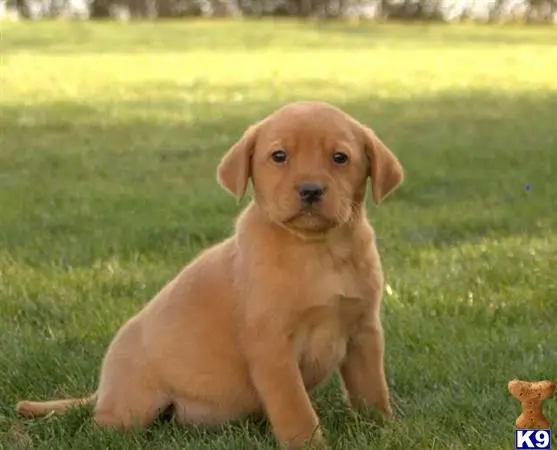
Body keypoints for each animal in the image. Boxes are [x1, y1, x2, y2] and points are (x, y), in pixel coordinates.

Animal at [15, 101, 402, 450]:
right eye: (279, 156)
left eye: (340, 158)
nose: (310, 190)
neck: (317, 250)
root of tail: (102, 390)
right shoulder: (273, 346)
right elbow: (295, 408)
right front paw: (308, 444)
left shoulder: (364, 332)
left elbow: (372, 389)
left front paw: (383, 430)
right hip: (132, 407)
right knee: (102, 426)